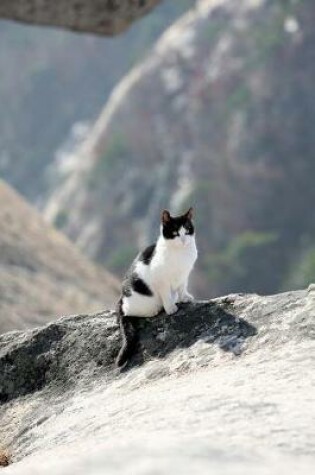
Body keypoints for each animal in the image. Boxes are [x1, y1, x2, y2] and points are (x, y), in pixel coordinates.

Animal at [115, 208, 198, 368]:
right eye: (175, 233)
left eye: (187, 230)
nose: (183, 240)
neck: (180, 254)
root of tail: (121, 299)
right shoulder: (162, 281)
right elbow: (166, 295)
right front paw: (171, 308)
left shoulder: (185, 275)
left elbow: (182, 288)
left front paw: (185, 298)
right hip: (141, 302)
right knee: (131, 313)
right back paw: (156, 310)